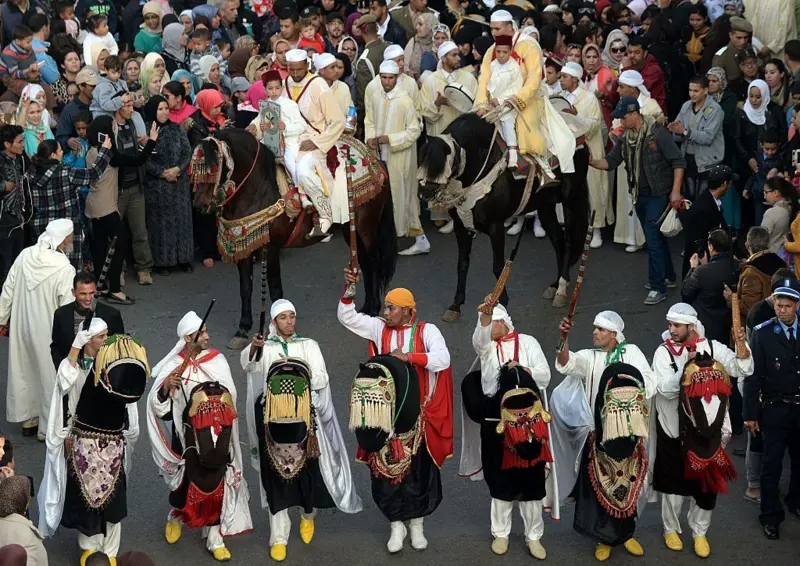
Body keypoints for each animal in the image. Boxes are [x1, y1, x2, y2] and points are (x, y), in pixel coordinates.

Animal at [418, 113, 588, 322]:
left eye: (440, 163)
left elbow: (498, 267)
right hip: (545, 206)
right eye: (422, 159)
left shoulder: (496, 226)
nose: (424, 192)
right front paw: (456, 305)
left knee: (569, 242)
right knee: (559, 241)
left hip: (570, 199)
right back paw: (554, 285)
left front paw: (501, 301)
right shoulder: (460, 225)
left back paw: (562, 289)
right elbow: (462, 264)